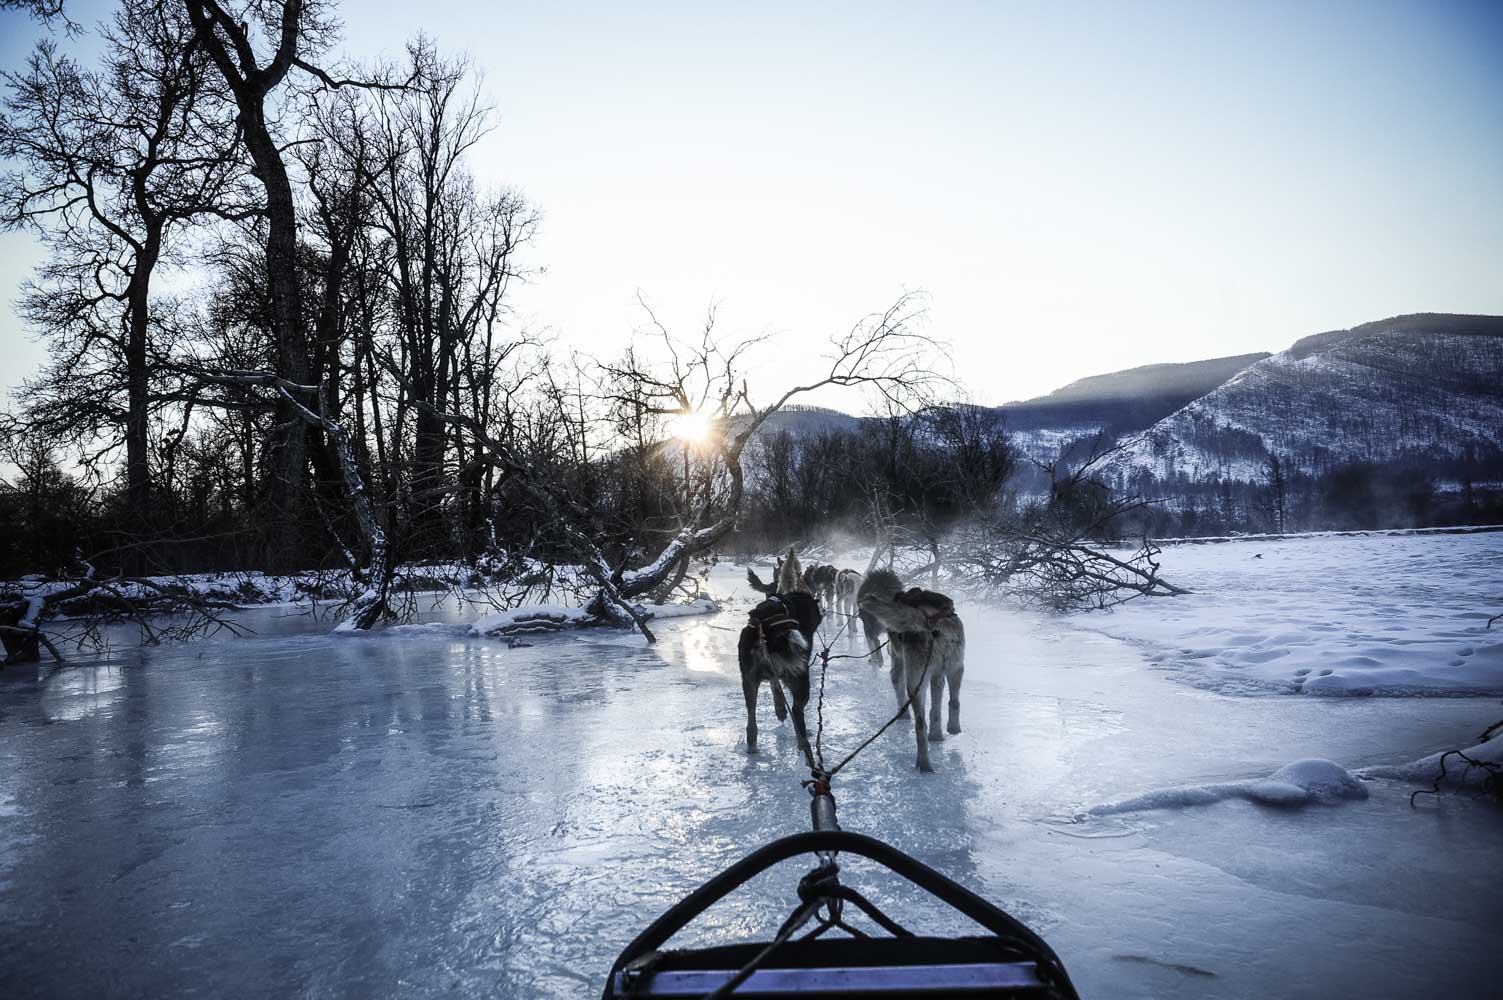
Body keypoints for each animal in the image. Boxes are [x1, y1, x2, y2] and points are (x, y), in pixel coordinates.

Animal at [736, 550, 823, 760]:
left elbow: (775, 687)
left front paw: (779, 708)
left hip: (749, 682)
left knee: (751, 719)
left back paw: (753, 744)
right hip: (800, 679)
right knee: (797, 712)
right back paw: (804, 743)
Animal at [859, 568, 961, 769]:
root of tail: (928, 619)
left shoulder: (898, 664)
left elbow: (897, 686)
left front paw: (903, 715)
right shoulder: (937, 676)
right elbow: (935, 710)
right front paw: (936, 736)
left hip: (915, 683)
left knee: (920, 724)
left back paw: (923, 764)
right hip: (956, 669)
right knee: (953, 701)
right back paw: (951, 728)